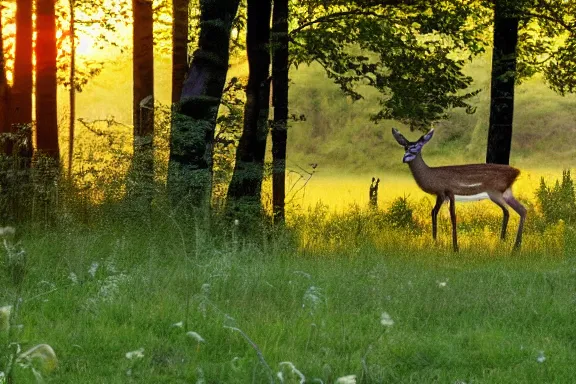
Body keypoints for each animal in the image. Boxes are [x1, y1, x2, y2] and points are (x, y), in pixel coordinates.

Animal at [392, 128, 528, 252]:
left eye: (415, 147)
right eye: (405, 148)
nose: (404, 158)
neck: (432, 177)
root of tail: (517, 172)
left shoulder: (446, 191)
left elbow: (451, 216)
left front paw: (454, 247)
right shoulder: (442, 195)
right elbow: (435, 213)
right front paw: (435, 242)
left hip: (495, 192)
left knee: (509, 211)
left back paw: (510, 244)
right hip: (506, 193)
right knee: (521, 210)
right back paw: (513, 245)